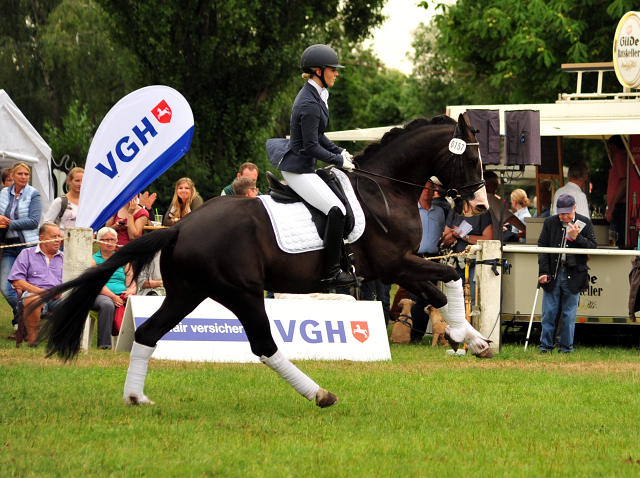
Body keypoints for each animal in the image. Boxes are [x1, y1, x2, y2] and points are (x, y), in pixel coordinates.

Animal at [37, 112, 488, 408]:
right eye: (470, 159)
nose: (480, 204)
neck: (386, 190)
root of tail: (180, 227)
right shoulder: (394, 263)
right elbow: (447, 279)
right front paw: (465, 335)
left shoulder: (397, 267)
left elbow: (437, 292)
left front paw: (472, 339)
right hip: (243, 293)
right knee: (264, 345)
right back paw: (320, 394)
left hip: (186, 293)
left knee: (148, 333)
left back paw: (135, 397)